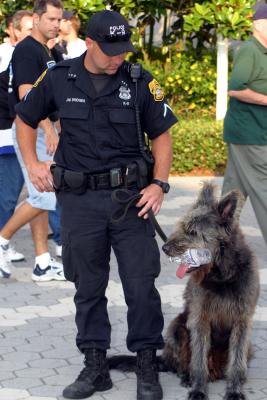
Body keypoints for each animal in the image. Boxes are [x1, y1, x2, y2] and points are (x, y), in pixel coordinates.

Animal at [162, 182, 260, 400]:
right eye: (182, 226)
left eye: (192, 232)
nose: (164, 248)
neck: (222, 275)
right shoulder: (200, 320)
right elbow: (198, 361)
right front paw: (198, 388)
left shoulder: (242, 321)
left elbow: (236, 362)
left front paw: (234, 390)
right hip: (177, 328)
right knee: (183, 362)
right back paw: (187, 376)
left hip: (248, 345)